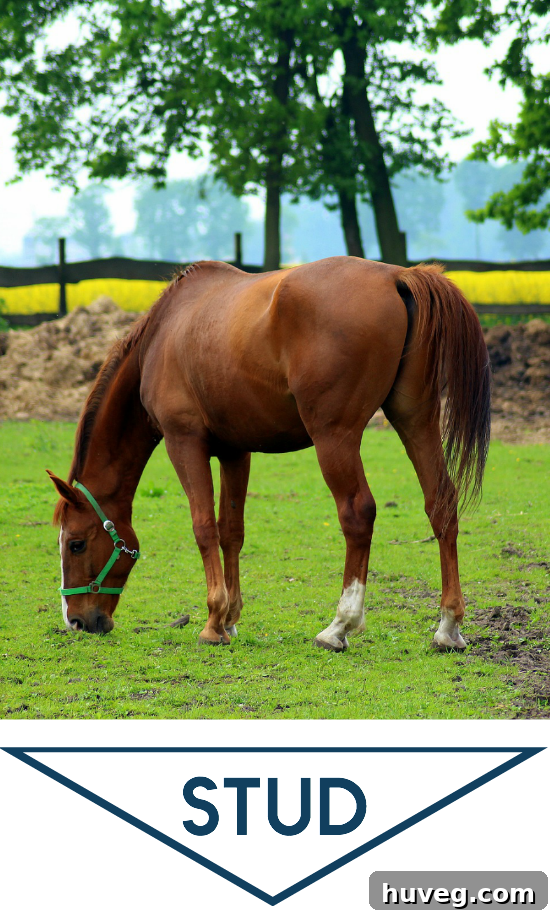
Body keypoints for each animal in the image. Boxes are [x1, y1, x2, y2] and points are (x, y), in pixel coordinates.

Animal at [49, 256, 490, 651]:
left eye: (76, 544)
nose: (76, 621)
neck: (163, 336)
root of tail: (397, 275)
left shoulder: (183, 442)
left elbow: (204, 527)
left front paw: (212, 623)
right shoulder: (234, 451)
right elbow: (231, 530)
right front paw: (228, 620)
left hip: (335, 436)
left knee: (357, 513)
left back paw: (339, 626)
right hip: (414, 420)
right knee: (441, 504)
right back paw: (448, 627)